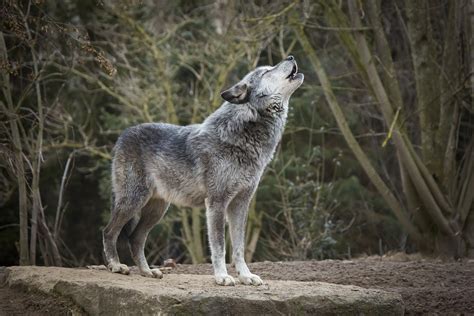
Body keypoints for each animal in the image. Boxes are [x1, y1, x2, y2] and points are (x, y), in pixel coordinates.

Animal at [103, 55, 304, 286]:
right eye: (267, 71)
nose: (291, 56)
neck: (244, 134)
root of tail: (123, 135)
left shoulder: (240, 203)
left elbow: (239, 247)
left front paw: (246, 276)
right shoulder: (217, 202)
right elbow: (219, 246)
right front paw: (222, 277)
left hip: (157, 209)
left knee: (136, 238)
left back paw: (147, 272)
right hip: (132, 201)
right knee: (109, 231)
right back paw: (116, 265)